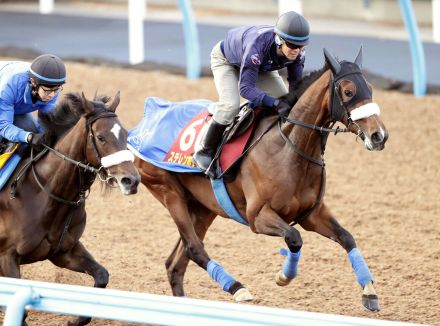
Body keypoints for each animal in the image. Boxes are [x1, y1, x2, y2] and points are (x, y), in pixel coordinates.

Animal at [0, 92, 139, 326]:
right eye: (100, 137)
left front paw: (74, 320)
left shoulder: (65, 251)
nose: (132, 180)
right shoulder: (7, 257)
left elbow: (102, 276)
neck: (45, 192)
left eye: (125, 135)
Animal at [135, 48, 388, 310]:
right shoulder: (257, 216)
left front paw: (370, 291)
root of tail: (147, 119)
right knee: (193, 248)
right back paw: (238, 288)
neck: (288, 148)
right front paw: (283, 276)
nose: (379, 135)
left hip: (203, 207)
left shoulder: (312, 214)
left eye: (370, 88)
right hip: (169, 192)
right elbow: (294, 237)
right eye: (348, 91)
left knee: (176, 263)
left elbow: (347, 237)